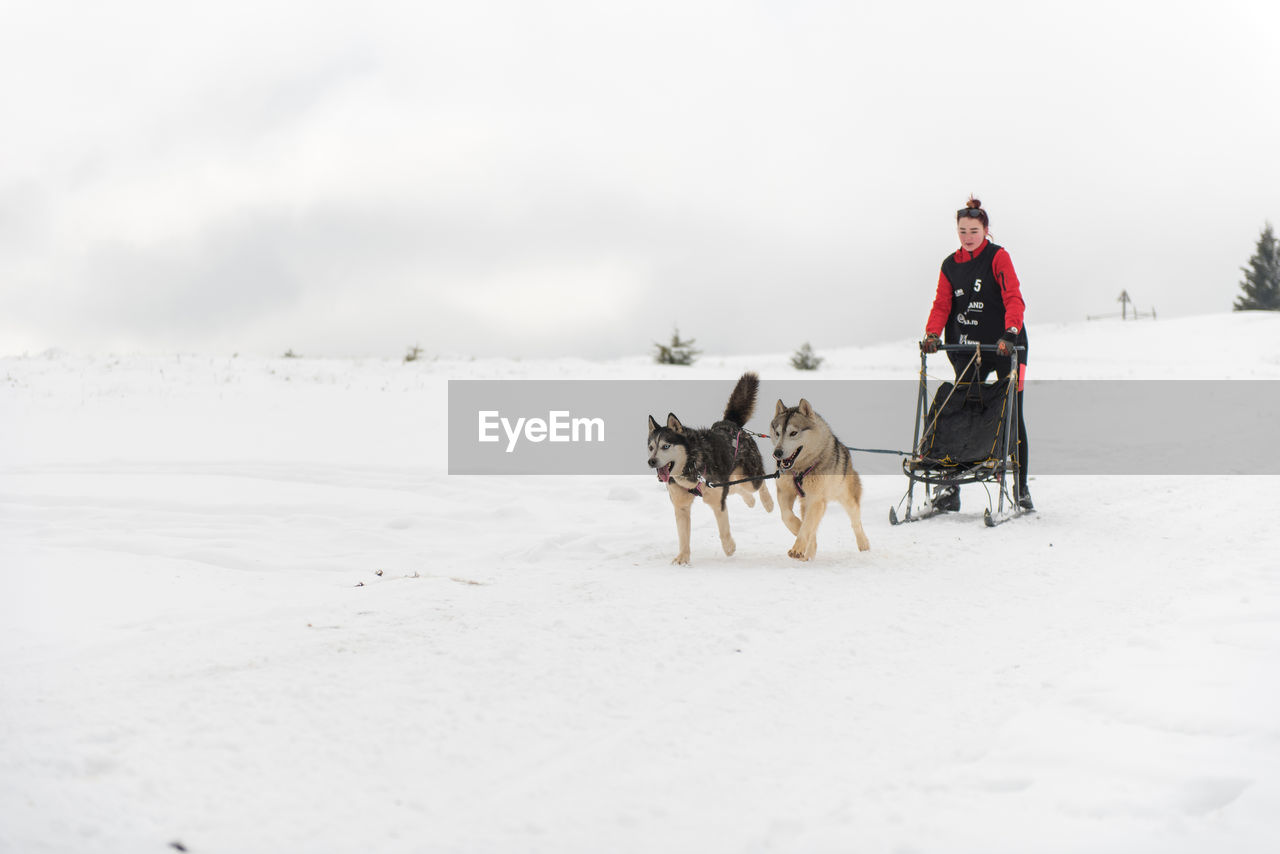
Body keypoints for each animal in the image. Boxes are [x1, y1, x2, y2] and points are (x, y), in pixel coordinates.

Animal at [645, 376, 773, 568]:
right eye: (651, 447)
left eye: (666, 446)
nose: (651, 461)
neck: (691, 466)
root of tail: (730, 424)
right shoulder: (681, 506)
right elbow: (683, 537)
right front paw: (683, 557)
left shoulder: (717, 501)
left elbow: (723, 529)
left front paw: (729, 547)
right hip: (729, 480)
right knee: (736, 488)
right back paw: (750, 501)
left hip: (749, 477)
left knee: (758, 482)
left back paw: (768, 502)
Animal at [768, 399, 870, 560]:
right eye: (777, 433)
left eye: (793, 433)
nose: (777, 453)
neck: (800, 470)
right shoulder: (784, 492)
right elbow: (787, 517)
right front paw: (800, 532)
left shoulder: (816, 499)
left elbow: (807, 526)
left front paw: (798, 547)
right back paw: (809, 551)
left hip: (847, 498)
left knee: (856, 522)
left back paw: (863, 544)